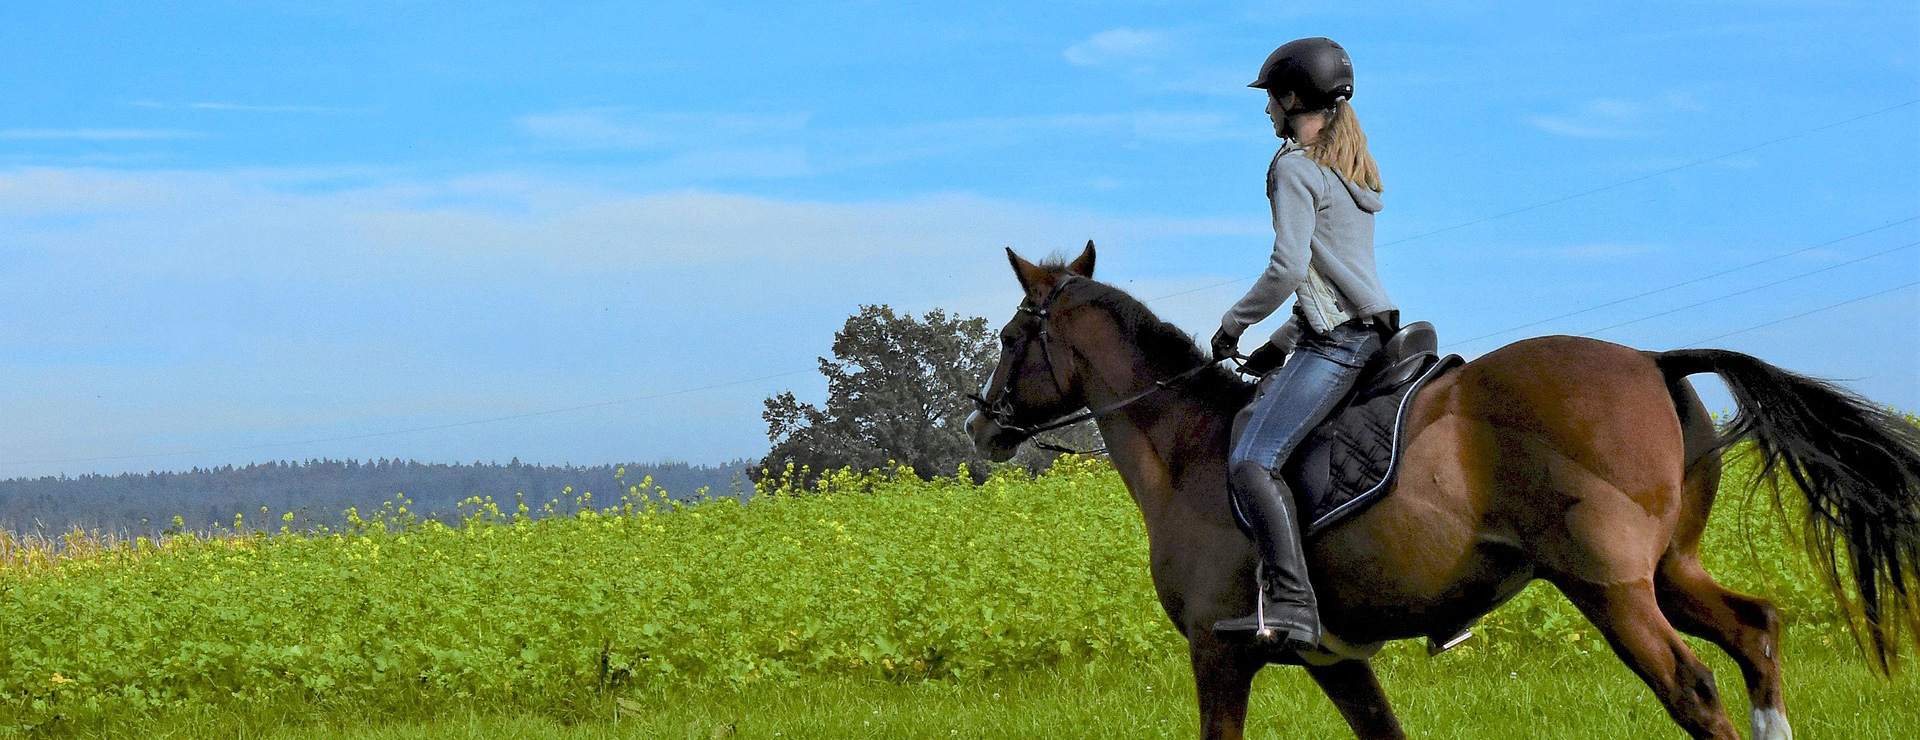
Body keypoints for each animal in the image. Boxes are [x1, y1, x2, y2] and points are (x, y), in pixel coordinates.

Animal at [965, 242, 1920, 740]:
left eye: (1012, 337)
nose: (981, 427)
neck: (1187, 448)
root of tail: (1653, 359)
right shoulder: (1338, 661)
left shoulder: (1218, 652)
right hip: (1669, 571)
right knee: (1756, 634)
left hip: (1611, 587)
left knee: (1693, 686)